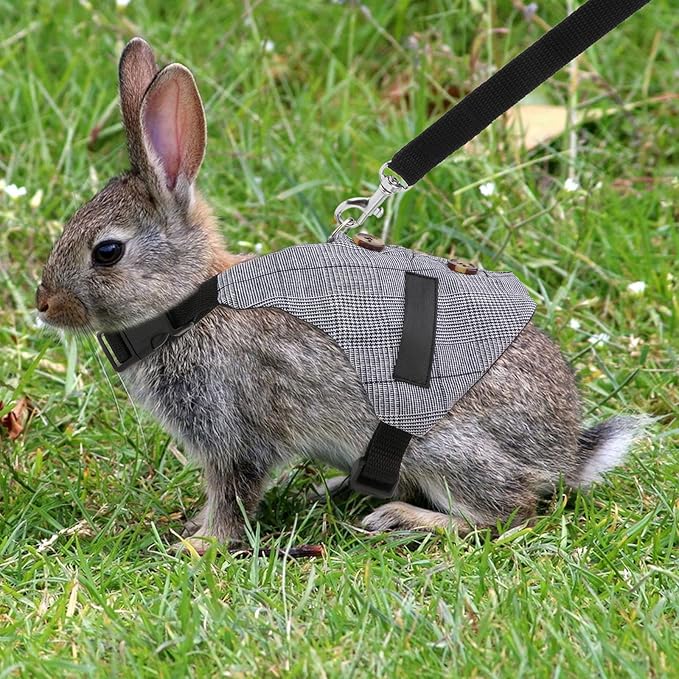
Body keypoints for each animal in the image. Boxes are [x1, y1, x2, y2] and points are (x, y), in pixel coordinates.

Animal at [37, 38, 646, 550]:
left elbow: (235, 494)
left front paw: (199, 547)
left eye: (107, 252)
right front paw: (193, 529)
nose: (44, 304)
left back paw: (401, 518)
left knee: (509, 510)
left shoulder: (237, 430)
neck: (190, 306)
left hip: (447, 448)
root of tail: (566, 451)